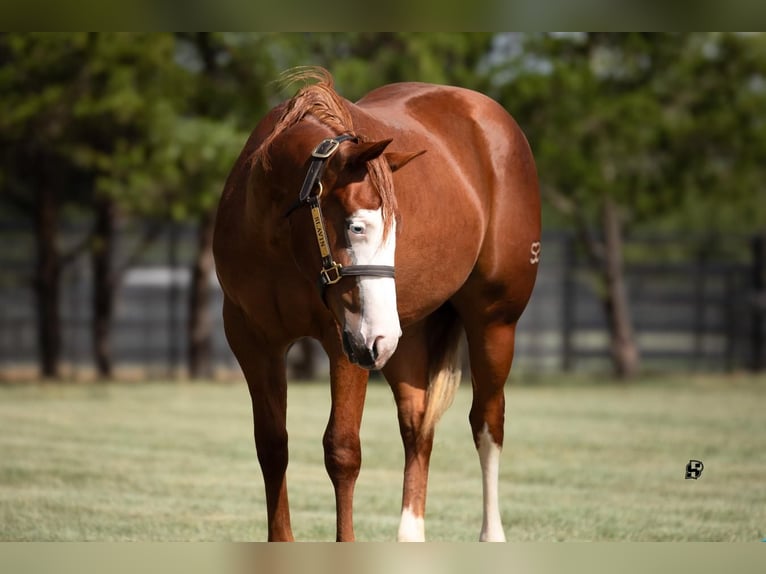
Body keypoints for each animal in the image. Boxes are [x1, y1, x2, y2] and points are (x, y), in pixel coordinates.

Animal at [213, 68, 544, 544]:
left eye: (396, 228)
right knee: (417, 425)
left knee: (487, 422)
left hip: (490, 324)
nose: (378, 337)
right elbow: (272, 446)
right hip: (403, 338)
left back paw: (492, 534)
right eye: (356, 226)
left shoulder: (345, 344)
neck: (278, 239)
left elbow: (342, 450)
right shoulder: (253, 342)